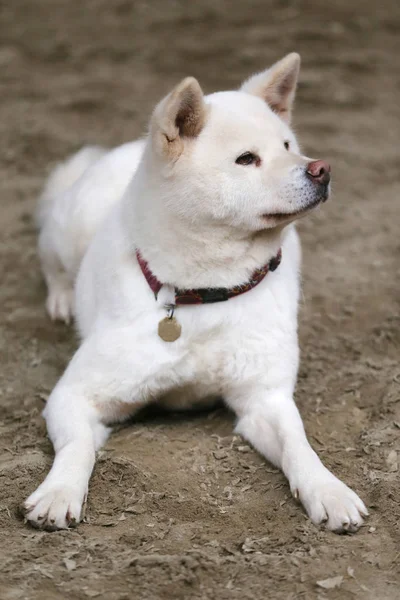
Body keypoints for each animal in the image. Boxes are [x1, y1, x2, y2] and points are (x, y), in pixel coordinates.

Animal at [24, 54, 368, 532]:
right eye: (246, 159)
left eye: (288, 145)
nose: (322, 168)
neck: (207, 293)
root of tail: (128, 148)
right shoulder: (73, 395)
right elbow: (76, 448)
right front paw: (59, 492)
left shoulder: (264, 399)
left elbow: (300, 446)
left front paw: (328, 489)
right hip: (70, 226)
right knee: (51, 261)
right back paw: (61, 298)